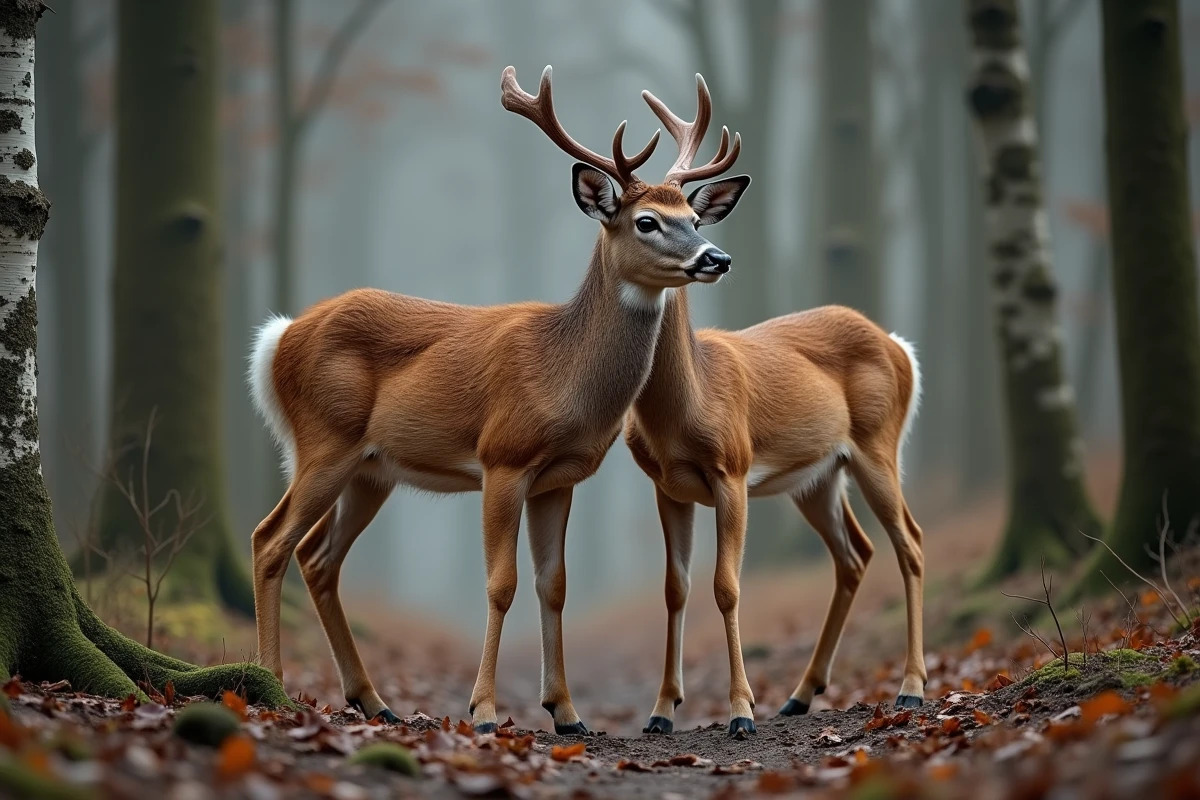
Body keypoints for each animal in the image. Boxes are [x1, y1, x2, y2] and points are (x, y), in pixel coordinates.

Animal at [246, 65, 750, 735]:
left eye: (694, 218)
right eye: (646, 221)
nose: (716, 257)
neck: (563, 375)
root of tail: (276, 341)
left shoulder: (560, 476)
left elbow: (552, 584)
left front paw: (567, 713)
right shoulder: (502, 458)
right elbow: (500, 584)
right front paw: (483, 711)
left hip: (371, 469)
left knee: (317, 557)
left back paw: (375, 701)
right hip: (323, 440)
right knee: (269, 539)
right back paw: (271, 686)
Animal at [622, 81, 926, 738]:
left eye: (694, 218)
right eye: (646, 221)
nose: (716, 258)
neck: (684, 409)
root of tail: (898, 346)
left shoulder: (733, 470)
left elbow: (727, 587)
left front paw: (741, 712)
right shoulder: (666, 485)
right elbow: (676, 589)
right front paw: (660, 711)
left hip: (878, 443)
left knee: (910, 544)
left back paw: (912, 689)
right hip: (817, 476)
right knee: (855, 555)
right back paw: (800, 695)